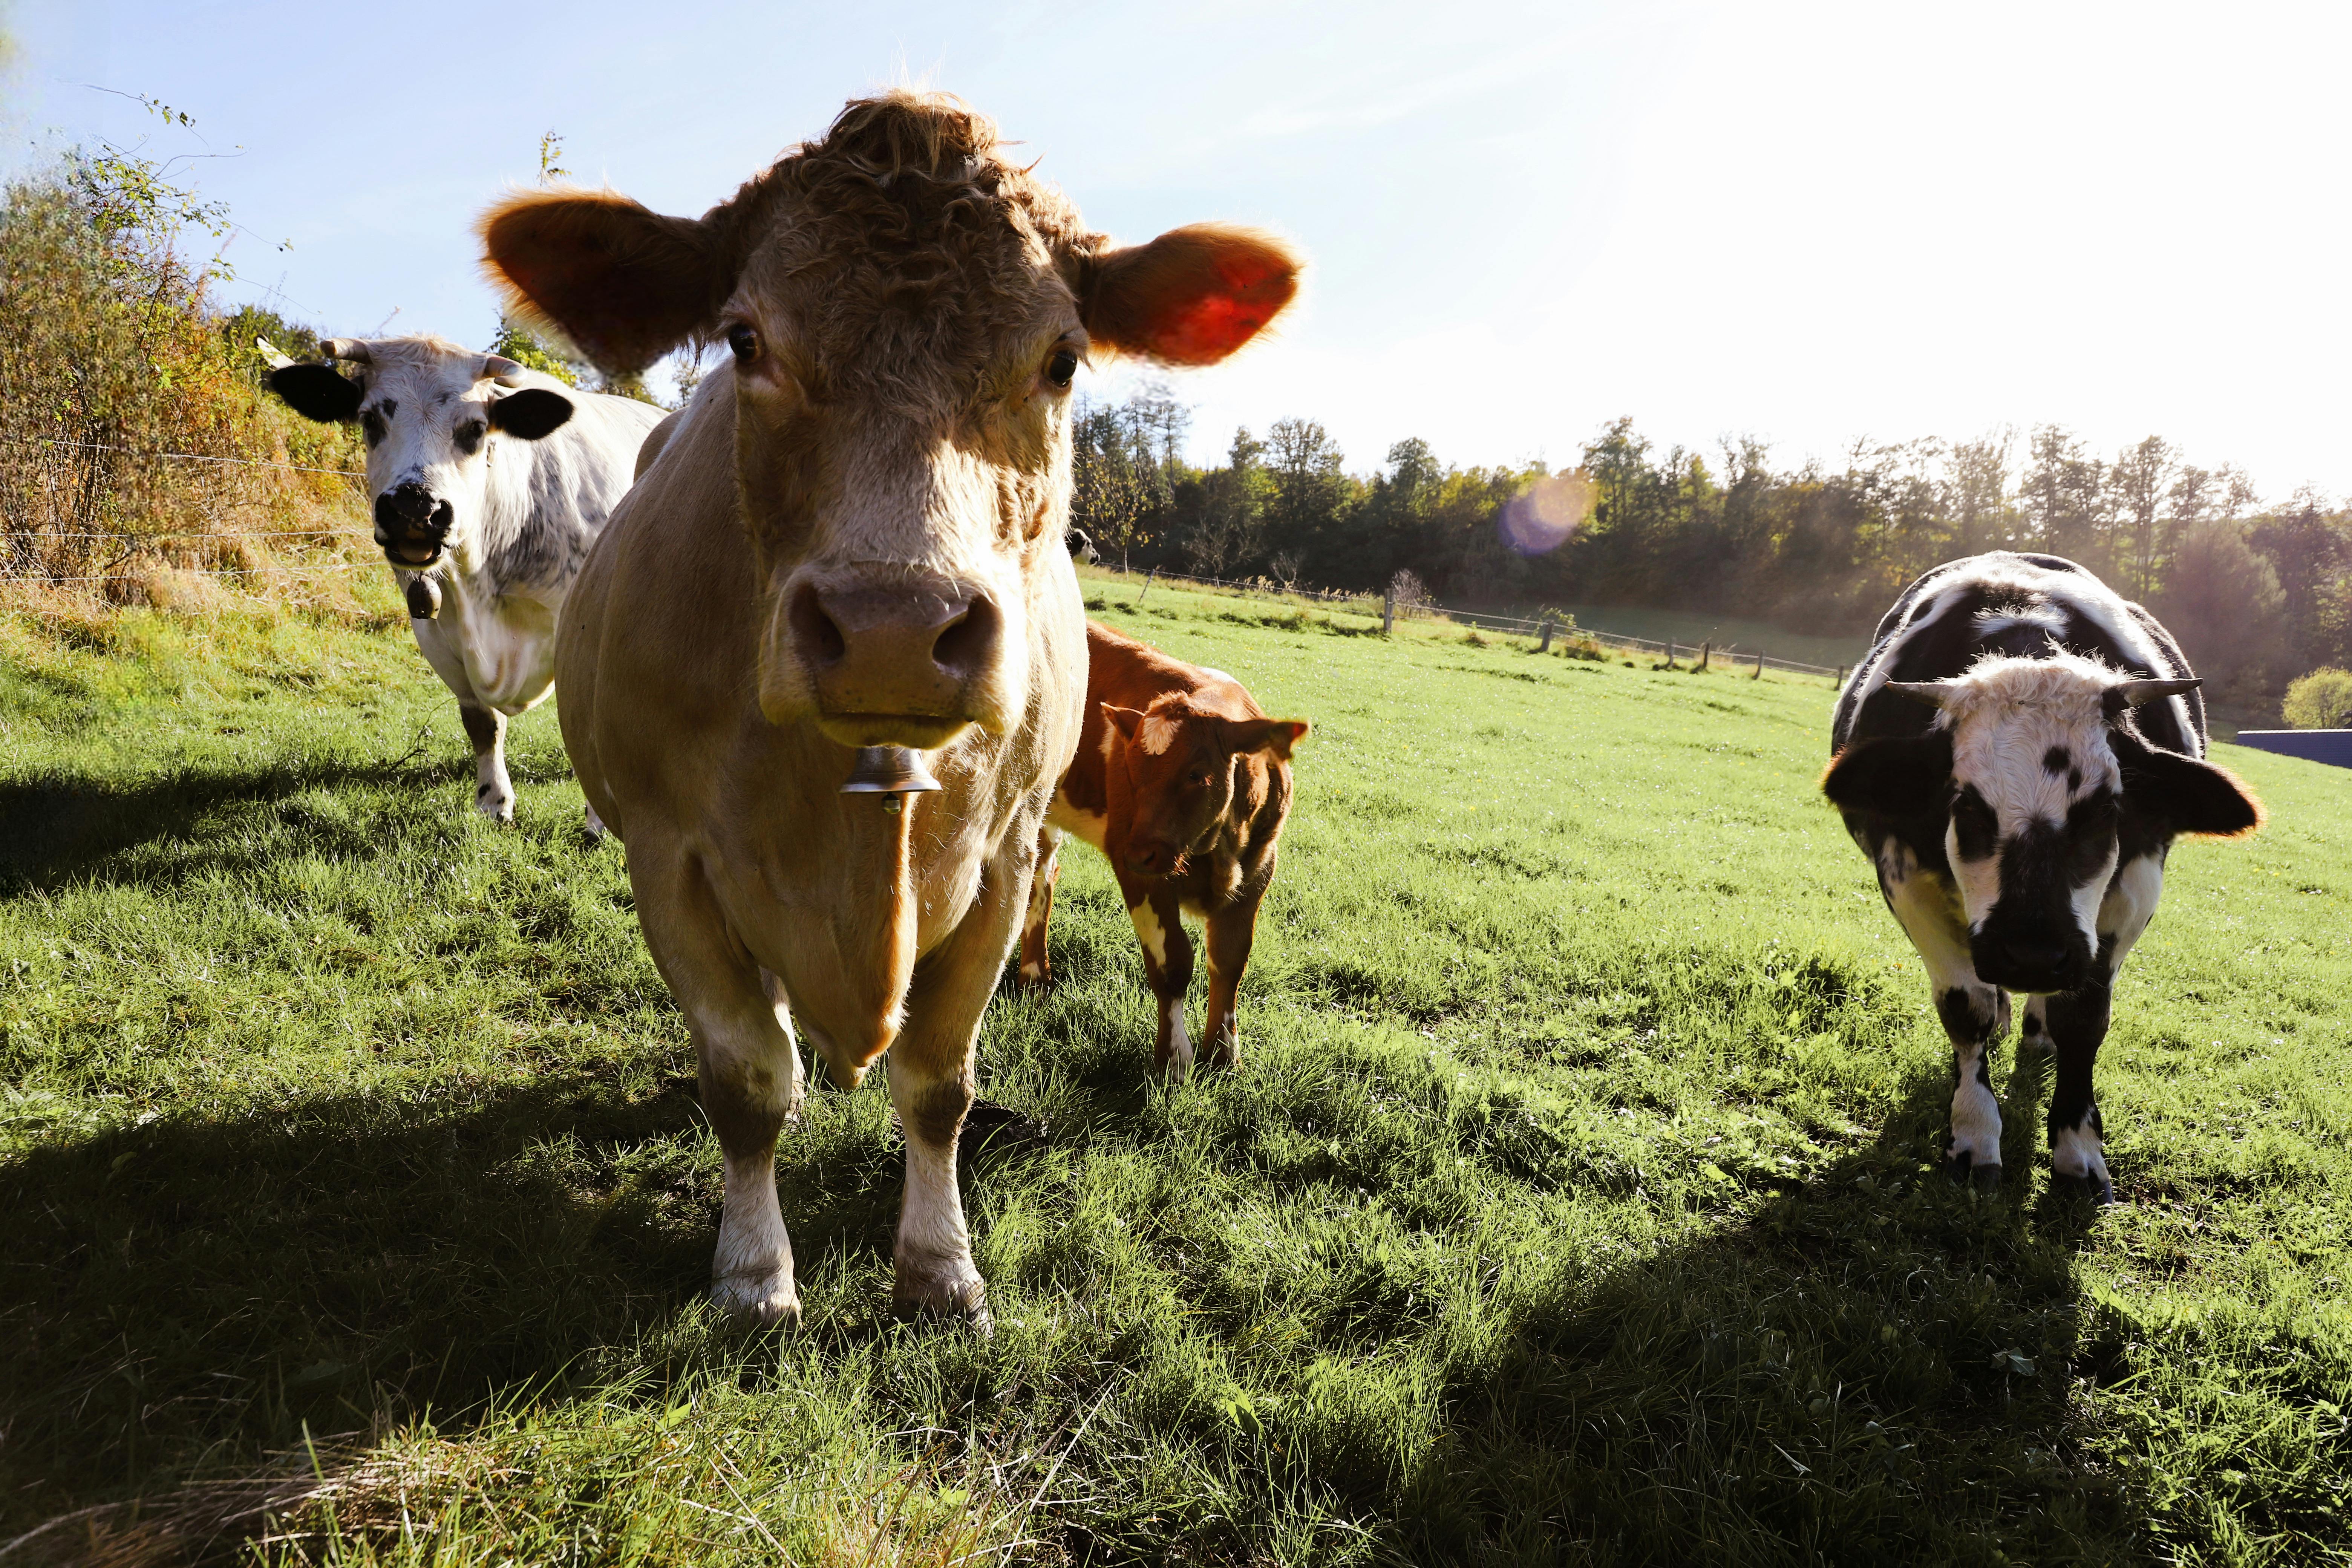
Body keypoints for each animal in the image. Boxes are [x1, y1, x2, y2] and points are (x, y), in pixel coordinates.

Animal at [264, 335, 667, 825]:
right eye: (370, 418)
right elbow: (483, 723)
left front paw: (598, 818)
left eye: (475, 429)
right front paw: (494, 800)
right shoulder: (438, 632)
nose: (415, 506)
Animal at [1017, 622, 1308, 1079]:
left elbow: (1230, 960)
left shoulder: (1260, 868)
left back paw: (1034, 976)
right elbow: (1171, 962)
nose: (1140, 852)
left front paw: (1225, 1056)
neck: (1217, 850)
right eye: (1129, 771)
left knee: (1041, 872)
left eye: (1197, 774)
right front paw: (1174, 1059)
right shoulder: (1138, 869)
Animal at [1823, 552, 2262, 1202]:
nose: (2031, 954)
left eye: (2106, 809)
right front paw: (1975, 1134)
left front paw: (2078, 1151)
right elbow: (1967, 1008)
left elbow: (2084, 1018)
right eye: (1966, 805)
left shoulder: (2135, 887)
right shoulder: (1904, 877)